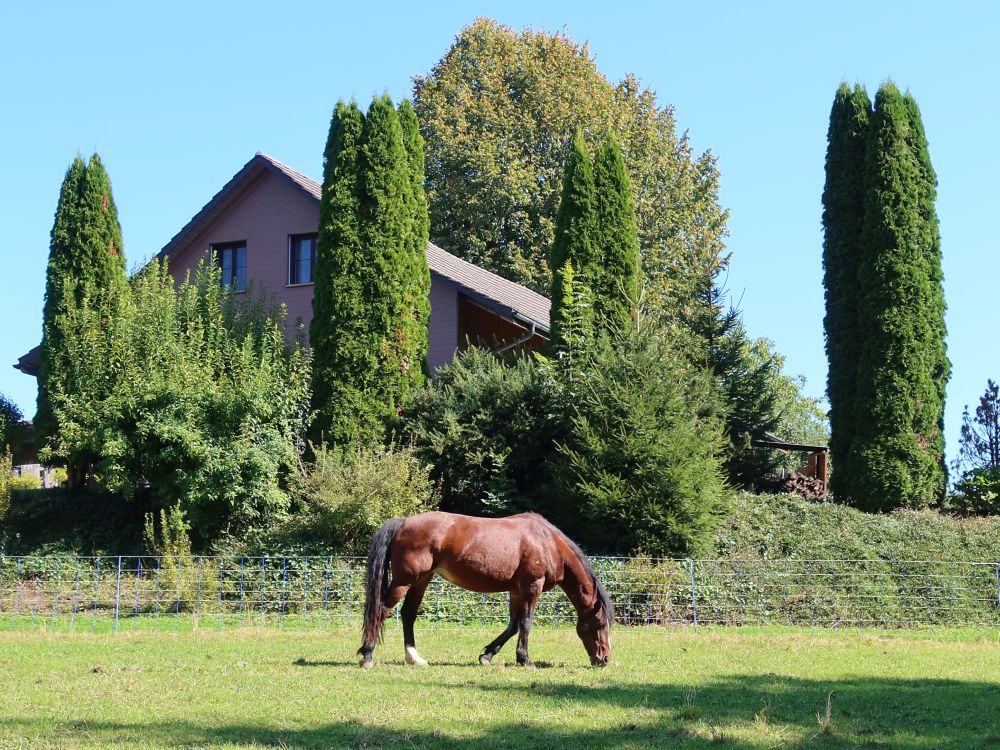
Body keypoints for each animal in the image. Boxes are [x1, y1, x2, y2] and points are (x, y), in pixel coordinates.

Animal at [356, 512, 612, 668]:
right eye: (600, 624)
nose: (605, 659)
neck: (547, 543)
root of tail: (404, 522)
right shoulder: (532, 587)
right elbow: (525, 624)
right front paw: (525, 659)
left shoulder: (516, 591)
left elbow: (512, 626)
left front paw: (487, 655)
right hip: (404, 581)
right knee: (381, 610)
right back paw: (367, 655)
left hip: (421, 580)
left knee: (408, 614)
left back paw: (415, 658)